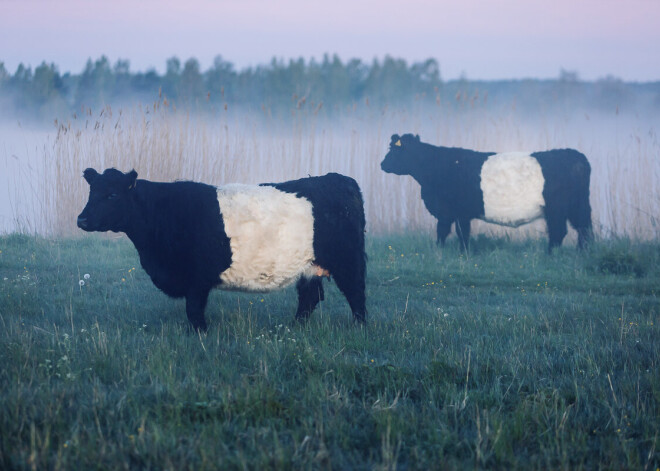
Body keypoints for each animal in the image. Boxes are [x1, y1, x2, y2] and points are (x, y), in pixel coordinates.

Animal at [78, 170, 368, 332]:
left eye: (112, 195)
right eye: (91, 192)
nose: (81, 219)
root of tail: (339, 179)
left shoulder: (196, 278)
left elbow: (194, 310)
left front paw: (199, 334)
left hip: (347, 259)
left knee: (356, 293)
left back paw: (359, 328)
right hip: (308, 265)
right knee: (309, 298)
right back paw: (294, 327)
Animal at [382, 135, 592, 253]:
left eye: (394, 150)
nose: (382, 164)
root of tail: (576, 156)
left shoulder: (454, 211)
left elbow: (454, 232)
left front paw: (457, 252)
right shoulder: (452, 213)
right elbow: (448, 231)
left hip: (558, 208)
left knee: (561, 231)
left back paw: (551, 254)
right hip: (573, 207)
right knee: (580, 229)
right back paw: (579, 252)